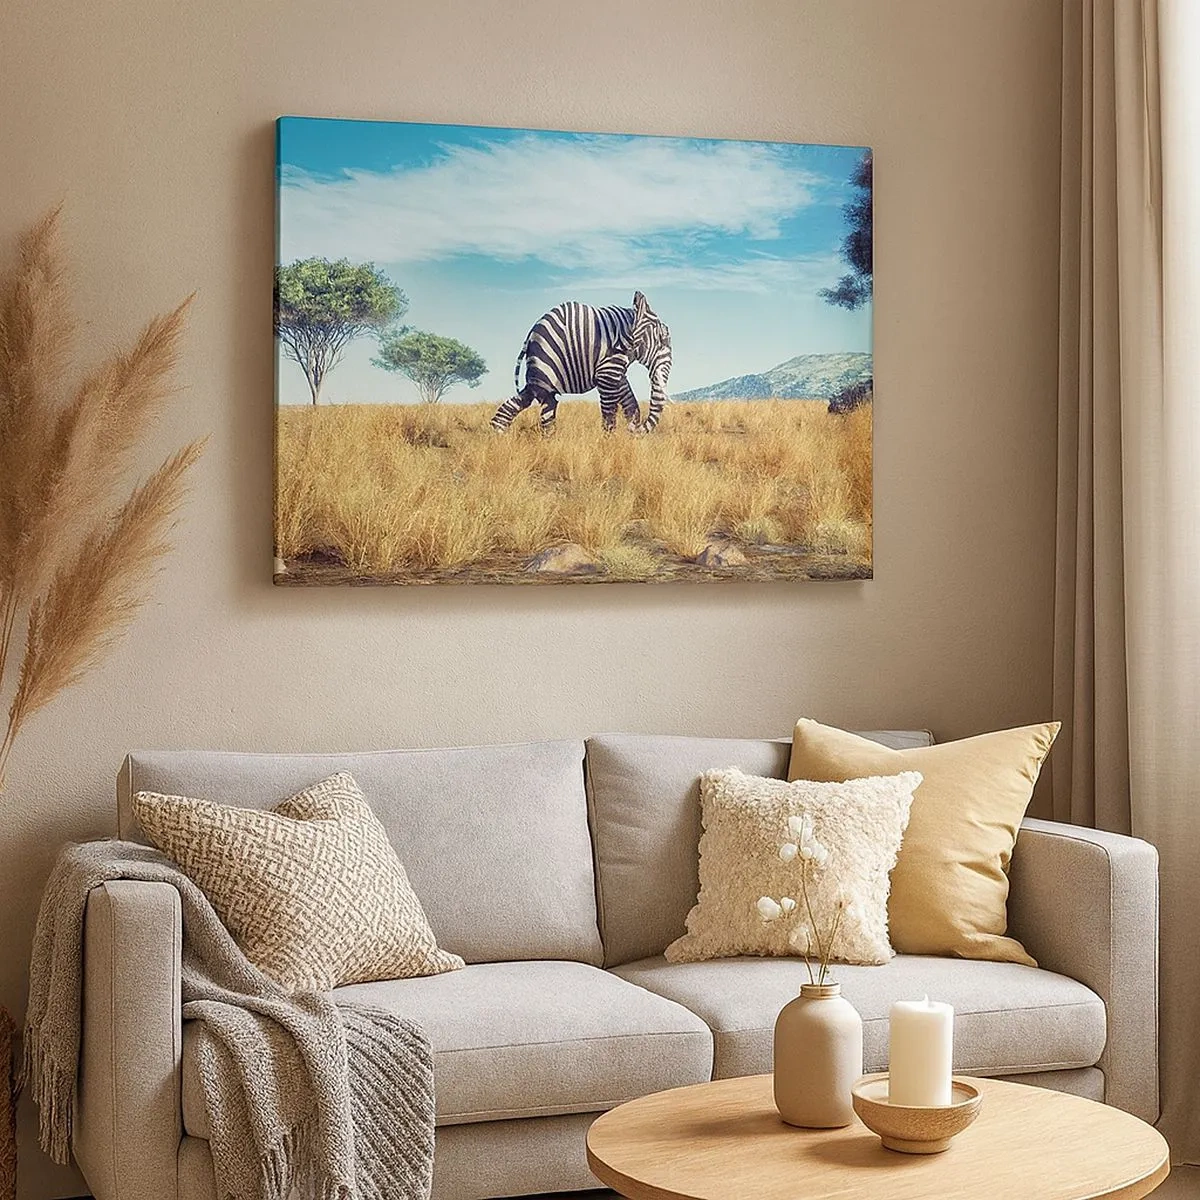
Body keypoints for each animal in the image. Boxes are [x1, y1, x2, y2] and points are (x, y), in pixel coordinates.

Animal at [490, 292, 672, 435]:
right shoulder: (607, 368)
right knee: (544, 407)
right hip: (544, 365)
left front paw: (630, 435)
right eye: (663, 341)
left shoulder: (617, 368)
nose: (636, 431)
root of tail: (529, 335)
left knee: (528, 403)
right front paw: (610, 444)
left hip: (539, 377)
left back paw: (502, 438)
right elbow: (609, 411)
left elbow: (631, 403)